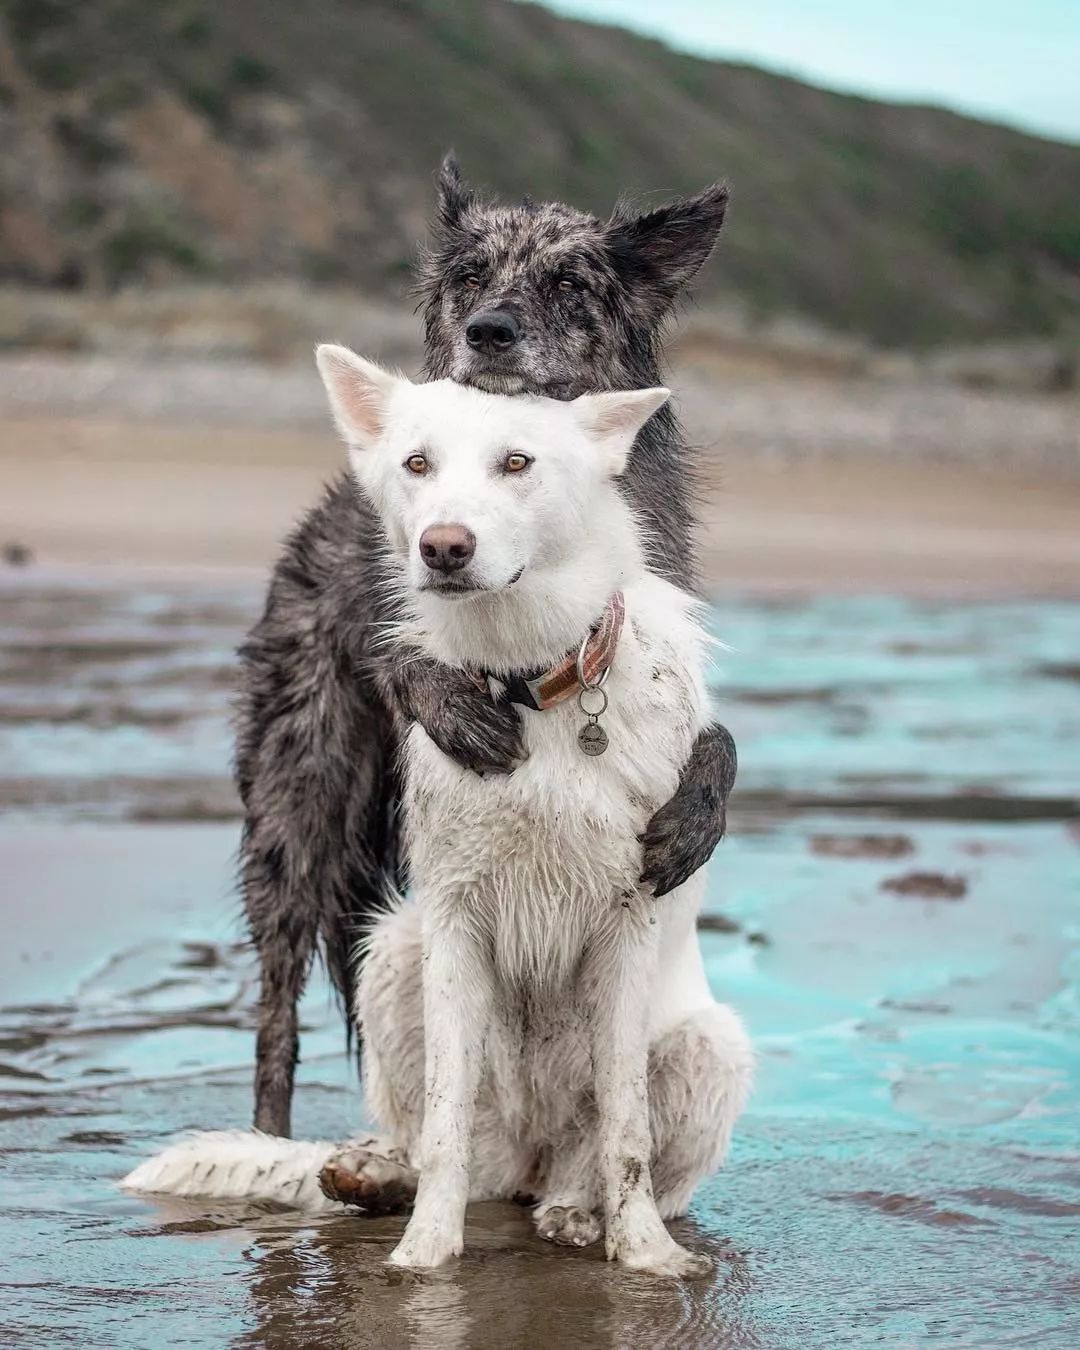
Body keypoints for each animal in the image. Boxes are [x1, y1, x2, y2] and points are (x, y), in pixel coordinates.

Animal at [124, 348, 750, 1274]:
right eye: (417, 465)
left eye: (517, 463)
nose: (444, 547)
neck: (530, 685)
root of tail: (524, 1163)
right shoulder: (455, 924)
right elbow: (447, 1120)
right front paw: (423, 1263)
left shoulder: (626, 927)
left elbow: (625, 1131)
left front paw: (646, 1259)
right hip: (392, 947)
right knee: (438, 1147)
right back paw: (381, 1178)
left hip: (712, 1046)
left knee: (584, 1159)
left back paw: (574, 1211)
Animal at [236, 157, 739, 1134]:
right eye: (470, 277)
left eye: (569, 283)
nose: (489, 331)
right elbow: (404, 652)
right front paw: (455, 704)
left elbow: (716, 738)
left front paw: (696, 815)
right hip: (298, 805)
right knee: (277, 1003)